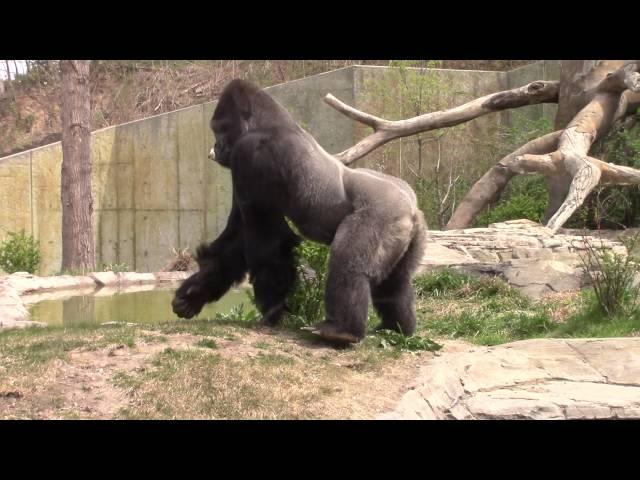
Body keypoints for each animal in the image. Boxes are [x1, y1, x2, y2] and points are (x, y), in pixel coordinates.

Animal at [172, 79, 428, 344]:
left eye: (221, 129)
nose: (217, 146)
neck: (270, 122)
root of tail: (411, 206)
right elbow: (236, 241)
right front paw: (195, 291)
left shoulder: (249, 152)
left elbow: (268, 241)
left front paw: (272, 311)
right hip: (410, 231)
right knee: (396, 282)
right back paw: (396, 327)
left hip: (380, 214)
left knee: (348, 263)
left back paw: (343, 330)